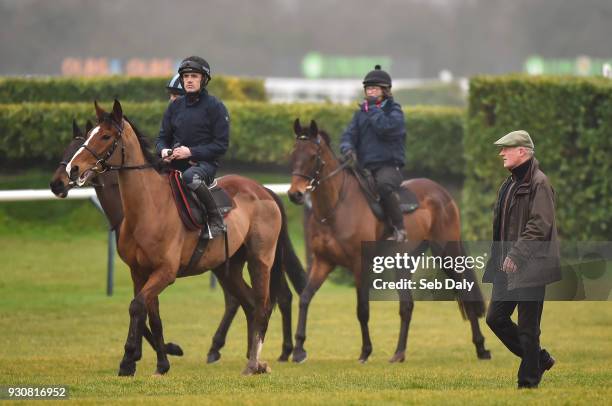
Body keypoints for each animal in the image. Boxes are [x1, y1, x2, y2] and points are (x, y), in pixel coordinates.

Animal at [49, 119, 306, 362]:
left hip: (256, 259)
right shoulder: (142, 269)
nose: (60, 180)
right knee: (249, 302)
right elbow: (147, 312)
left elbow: (142, 309)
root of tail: (263, 190)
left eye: (102, 138)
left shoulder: (161, 269)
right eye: (70, 147)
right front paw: (150, 354)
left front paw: (158, 351)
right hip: (228, 265)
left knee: (264, 300)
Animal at [288, 119, 492, 364]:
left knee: (464, 292)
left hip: (447, 254)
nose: (295, 194)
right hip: (404, 262)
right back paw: (399, 353)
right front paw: (299, 350)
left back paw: (481, 348)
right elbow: (305, 298)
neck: (335, 207)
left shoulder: (360, 265)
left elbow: (362, 309)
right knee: (407, 305)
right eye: (292, 153)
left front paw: (365, 351)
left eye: (312, 156)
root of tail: (444, 194)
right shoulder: (323, 263)